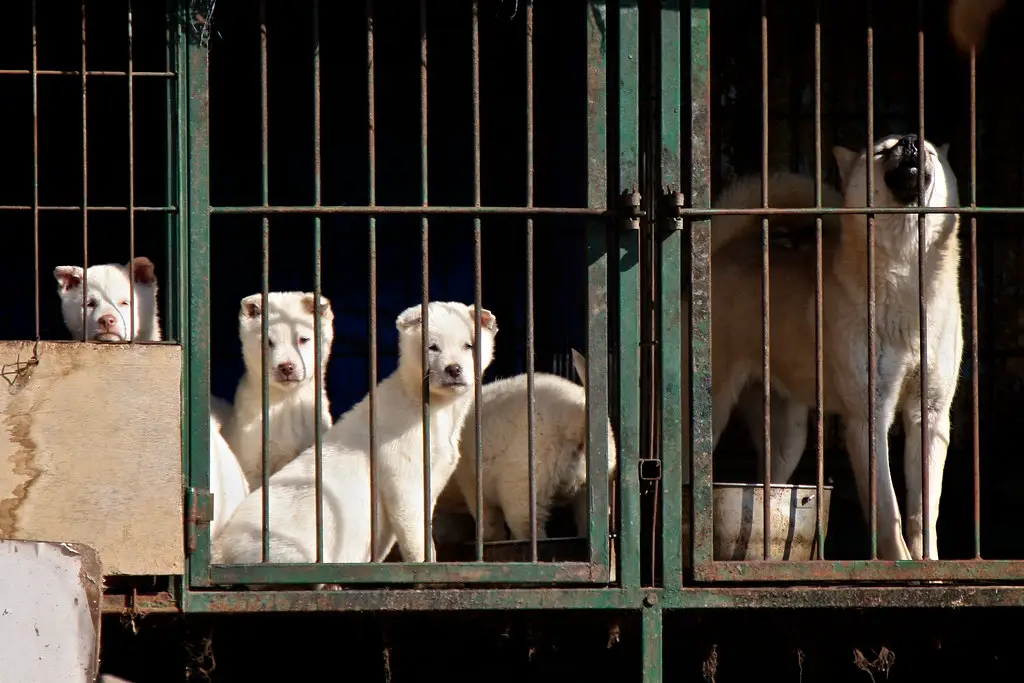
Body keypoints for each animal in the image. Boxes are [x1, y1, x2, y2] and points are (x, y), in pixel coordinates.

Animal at [454, 350, 614, 540]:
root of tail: (576, 420)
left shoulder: (472, 483)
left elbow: (489, 524)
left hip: (526, 485)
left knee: (530, 528)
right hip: (592, 485)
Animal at [684, 135, 962, 561]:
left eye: (929, 151)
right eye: (883, 150)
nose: (911, 142)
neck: (906, 279)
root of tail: (721, 253)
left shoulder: (929, 415)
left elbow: (923, 510)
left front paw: (928, 563)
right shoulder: (868, 417)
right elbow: (889, 510)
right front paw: (899, 563)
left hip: (789, 437)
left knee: (768, 487)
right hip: (713, 413)